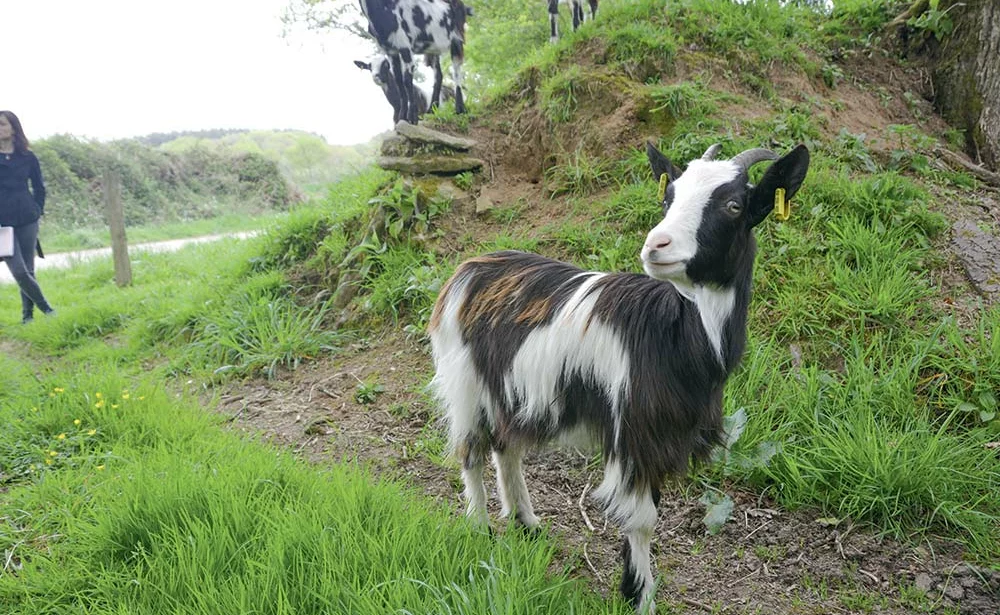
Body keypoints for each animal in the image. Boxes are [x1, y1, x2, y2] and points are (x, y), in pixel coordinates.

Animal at [430, 141, 812, 612]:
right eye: (669, 198)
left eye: (734, 205)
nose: (656, 244)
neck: (677, 332)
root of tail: (468, 267)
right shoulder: (631, 433)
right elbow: (641, 518)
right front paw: (639, 596)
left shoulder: (662, 436)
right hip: (464, 382)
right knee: (471, 451)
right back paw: (480, 528)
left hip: (513, 391)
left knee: (507, 446)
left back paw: (527, 524)